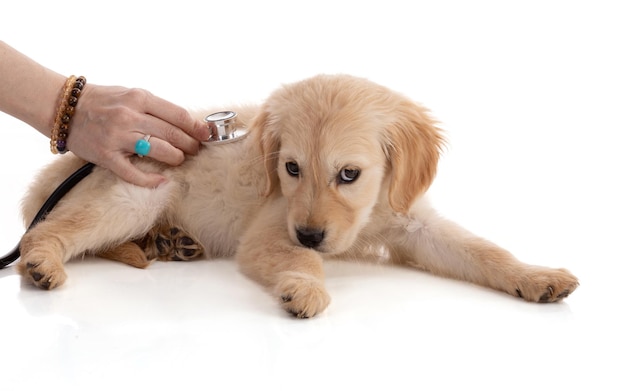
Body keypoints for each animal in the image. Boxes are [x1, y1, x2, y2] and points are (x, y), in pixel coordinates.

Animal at [18, 74, 576, 318]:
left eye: (349, 174)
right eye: (291, 168)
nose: (309, 233)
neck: (367, 214)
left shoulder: (414, 222)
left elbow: (484, 250)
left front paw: (537, 277)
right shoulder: (271, 230)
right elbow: (302, 261)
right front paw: (305, 289)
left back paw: (171, 242)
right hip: (134, 197)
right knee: (45, 229)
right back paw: (46, 263)